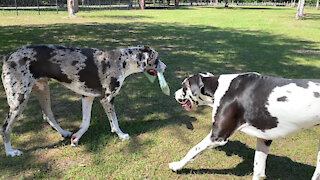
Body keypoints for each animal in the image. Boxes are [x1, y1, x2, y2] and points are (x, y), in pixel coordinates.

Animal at [0, 44, 165, 156]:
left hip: (42, 90)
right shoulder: (107, 99)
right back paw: (10, 152)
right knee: (5, 128)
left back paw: (64, 133)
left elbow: (85, 123)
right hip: (19, 100)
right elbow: (115, 122)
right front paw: (122, 135)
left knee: (48, 115)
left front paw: (75, 139)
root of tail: (8, 56)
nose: (165, 67)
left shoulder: (87, 97)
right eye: (156, 59)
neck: (122, 61)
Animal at [171, 72, 320, 180]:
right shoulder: (264, 139)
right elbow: (258, 170)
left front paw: (177, 165)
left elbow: (193, 150)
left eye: (183, 87)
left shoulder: (218, 136)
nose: (174, 94)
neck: (219, 88)